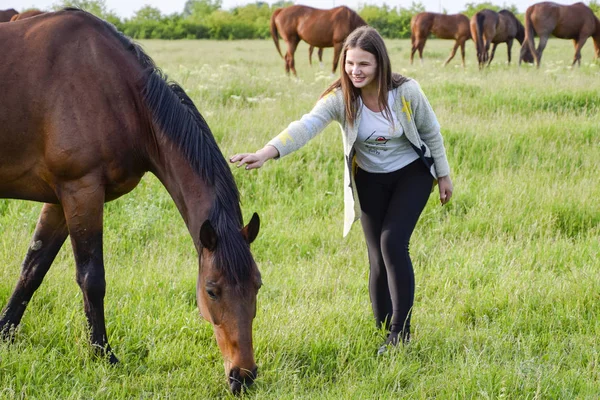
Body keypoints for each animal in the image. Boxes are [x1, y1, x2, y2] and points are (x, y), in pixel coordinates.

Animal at [0, 7, 262, 396]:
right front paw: (103, 355)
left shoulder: (60, 200)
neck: (120, 94)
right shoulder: (81, 190)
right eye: (212, 291)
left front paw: (4, 334)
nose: (243, 376)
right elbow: (92, 278)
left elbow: (32, 269)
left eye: (257, 285)